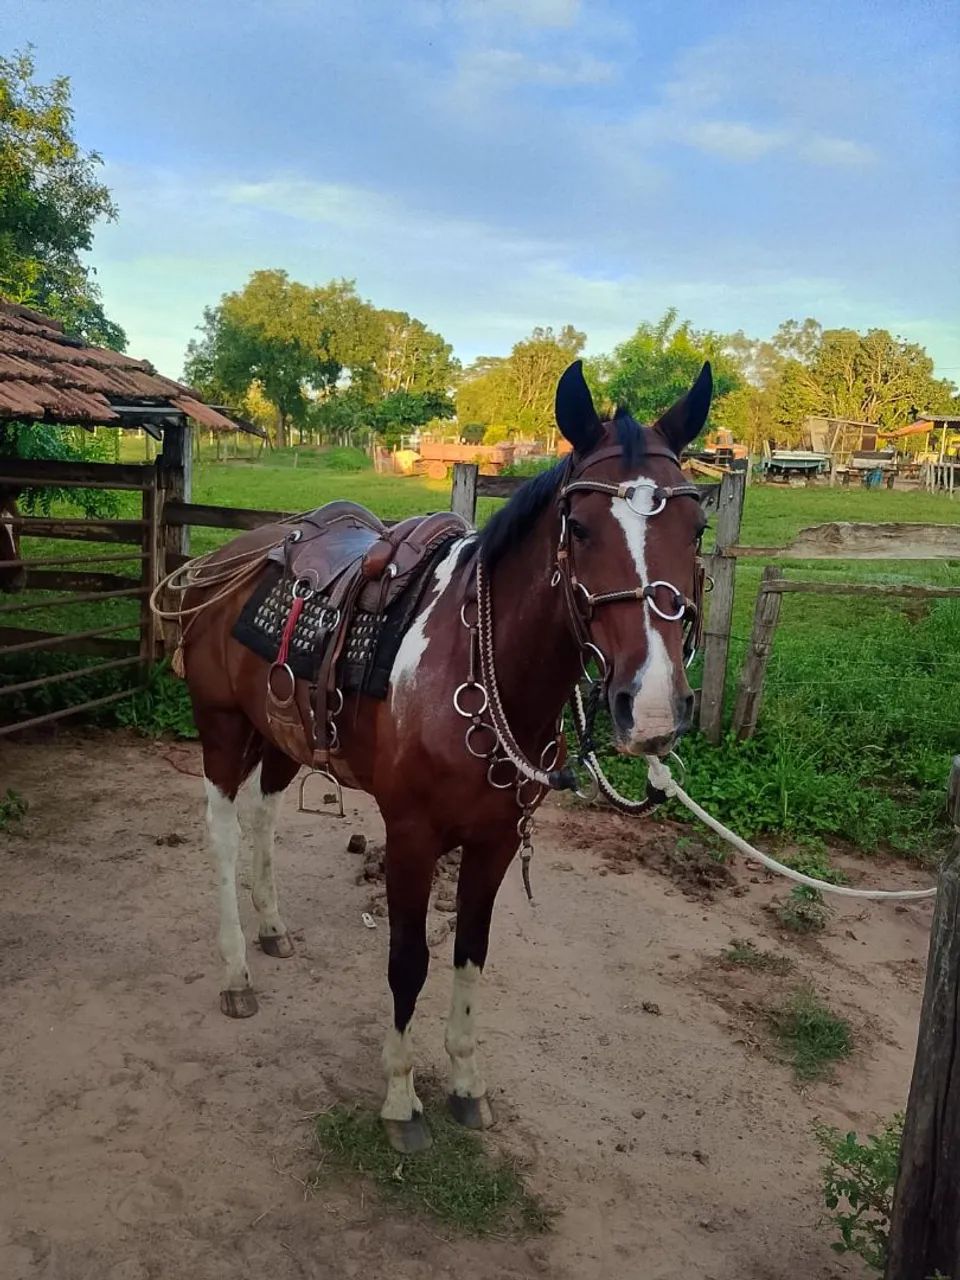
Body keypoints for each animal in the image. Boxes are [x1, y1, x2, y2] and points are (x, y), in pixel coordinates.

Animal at [173, 359, 712, 1152]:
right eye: (579, 527)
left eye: (697, 528)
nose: (650, 708)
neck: (479, 665)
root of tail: (227, 558)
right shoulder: (412, 837)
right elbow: (409, 962)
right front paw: (401, 1099)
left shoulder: (496, 841)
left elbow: (470, 955)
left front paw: (465, 1086)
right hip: (221, 726)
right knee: (222, 837)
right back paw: (237, 972)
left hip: (282, 734)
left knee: (265, 817)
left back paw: (272, 930)